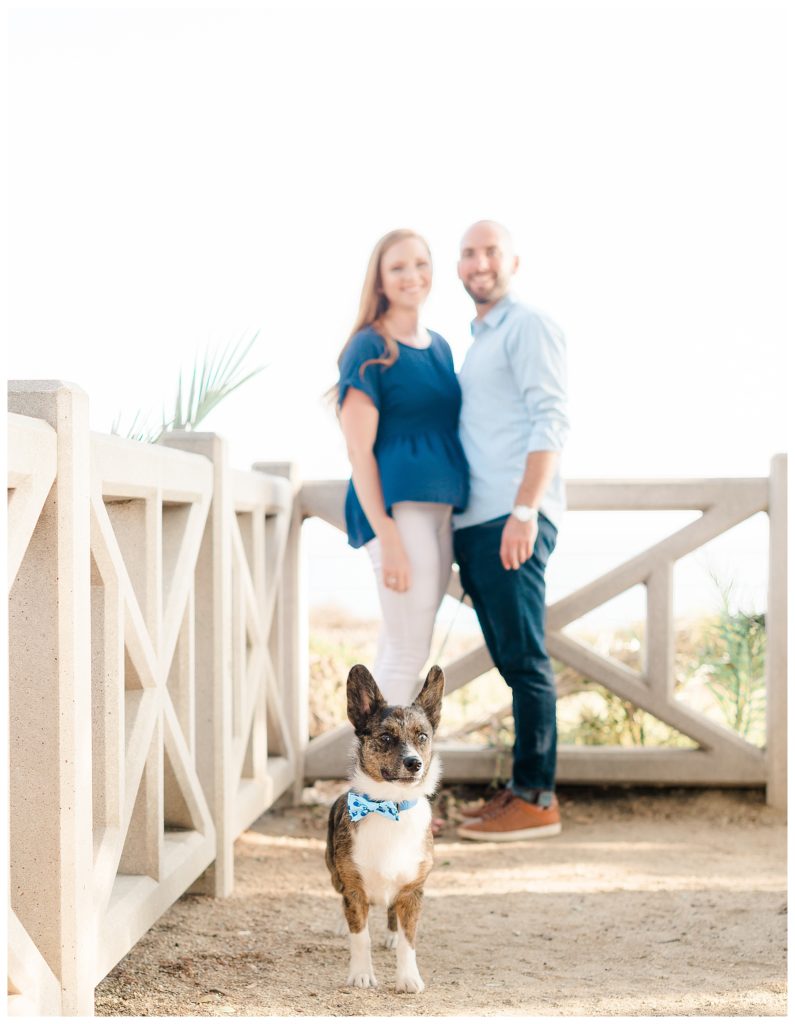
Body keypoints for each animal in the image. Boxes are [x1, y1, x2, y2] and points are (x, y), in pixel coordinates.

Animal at [323, 663, 444, 991]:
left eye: (422, 736)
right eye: (386, 738)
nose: (414, 763)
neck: (391, 807)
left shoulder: (412, 891)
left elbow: (408, 941)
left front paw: (408, 978)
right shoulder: (354, 889)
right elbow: (360, 936)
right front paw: (361, 974)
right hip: (333, 871)